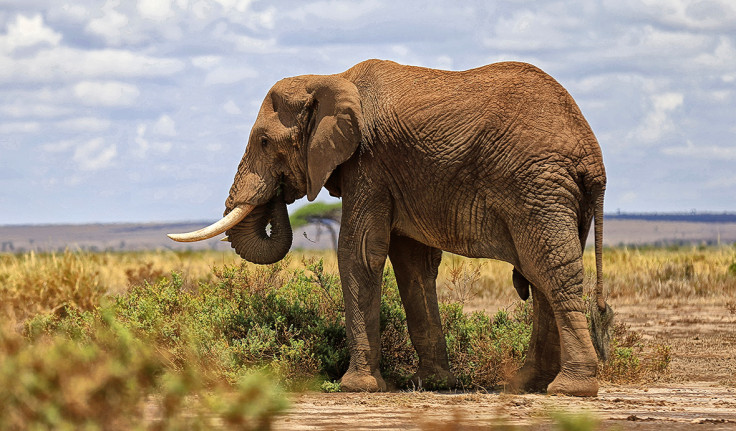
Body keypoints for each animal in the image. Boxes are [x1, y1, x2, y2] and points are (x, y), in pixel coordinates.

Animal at [171, 59, 608, 396]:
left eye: (263, 141)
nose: (280, 192)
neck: (332, 77)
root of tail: (592, 154)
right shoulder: (393, 173)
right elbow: (411, 263)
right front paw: (435, 384)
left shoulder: (368, 162)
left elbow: (360, 251)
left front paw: (356, 387)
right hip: (557, 193)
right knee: (540, 276)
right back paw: (526, 385)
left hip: (537, 186)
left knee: (549, 270)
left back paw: (571, 389)